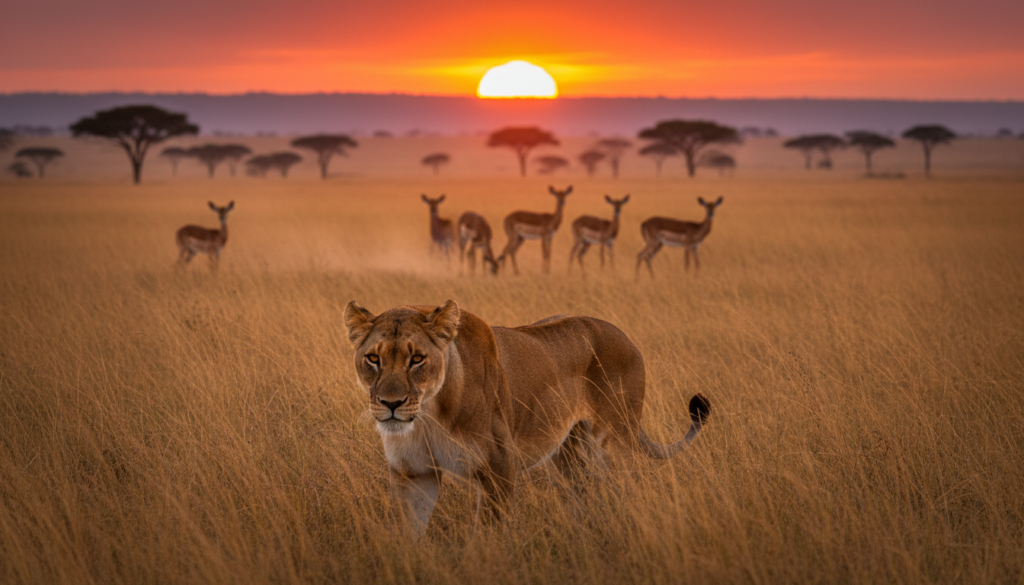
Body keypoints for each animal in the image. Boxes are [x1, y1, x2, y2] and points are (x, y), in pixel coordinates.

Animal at [343, 300, 711, 535]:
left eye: (417, 359)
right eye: (373, 359)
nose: (391, 403)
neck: (428, 417)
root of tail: (625, 335)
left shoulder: (500, 467)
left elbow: (487, 539)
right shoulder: (413, 474)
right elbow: (409, 533)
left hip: (614, 442)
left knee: (631, 485)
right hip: (568, 454)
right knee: (582, 492)